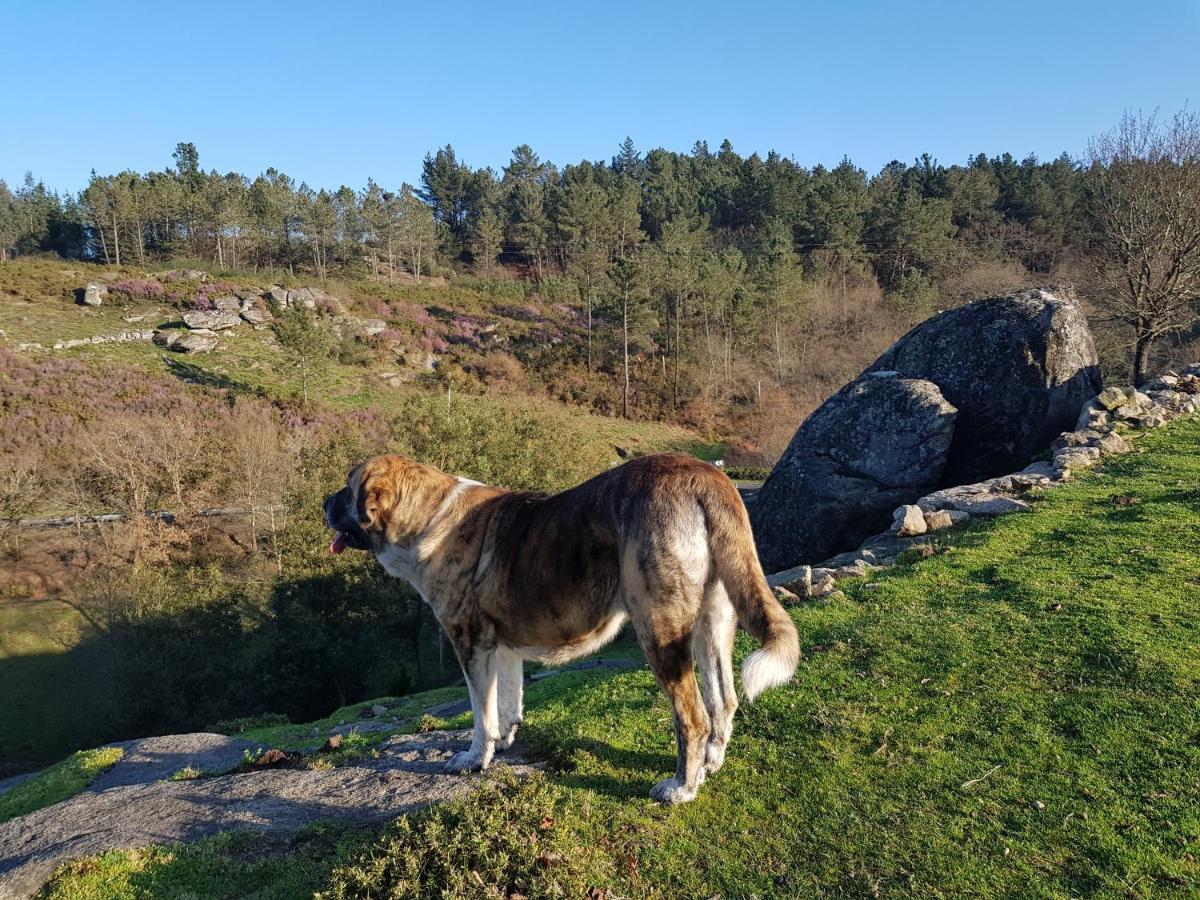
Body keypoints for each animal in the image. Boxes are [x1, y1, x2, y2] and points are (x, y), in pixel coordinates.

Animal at [324, 453, 801, 806]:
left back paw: (681, 787)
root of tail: (704, 474)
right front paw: (505, 740)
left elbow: (480, 711)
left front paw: (475, 758)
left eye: (348, 488)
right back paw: (709, 765)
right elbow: (507, 701)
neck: (428, 515)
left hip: (659, 629)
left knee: (693, 716)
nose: (324, 503)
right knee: (723, 699)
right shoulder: (502, 646)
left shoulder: (470, 641)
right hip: (713, 621)